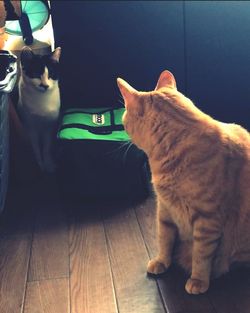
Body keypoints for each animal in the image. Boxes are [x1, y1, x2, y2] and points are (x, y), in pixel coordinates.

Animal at [116, 69, 250, 294]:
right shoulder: (165, 209)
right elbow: (164, 239)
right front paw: (162, 261)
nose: (122, 128)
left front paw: (198, 279)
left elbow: (201, 255)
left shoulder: (207, 221)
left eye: (125, 120)